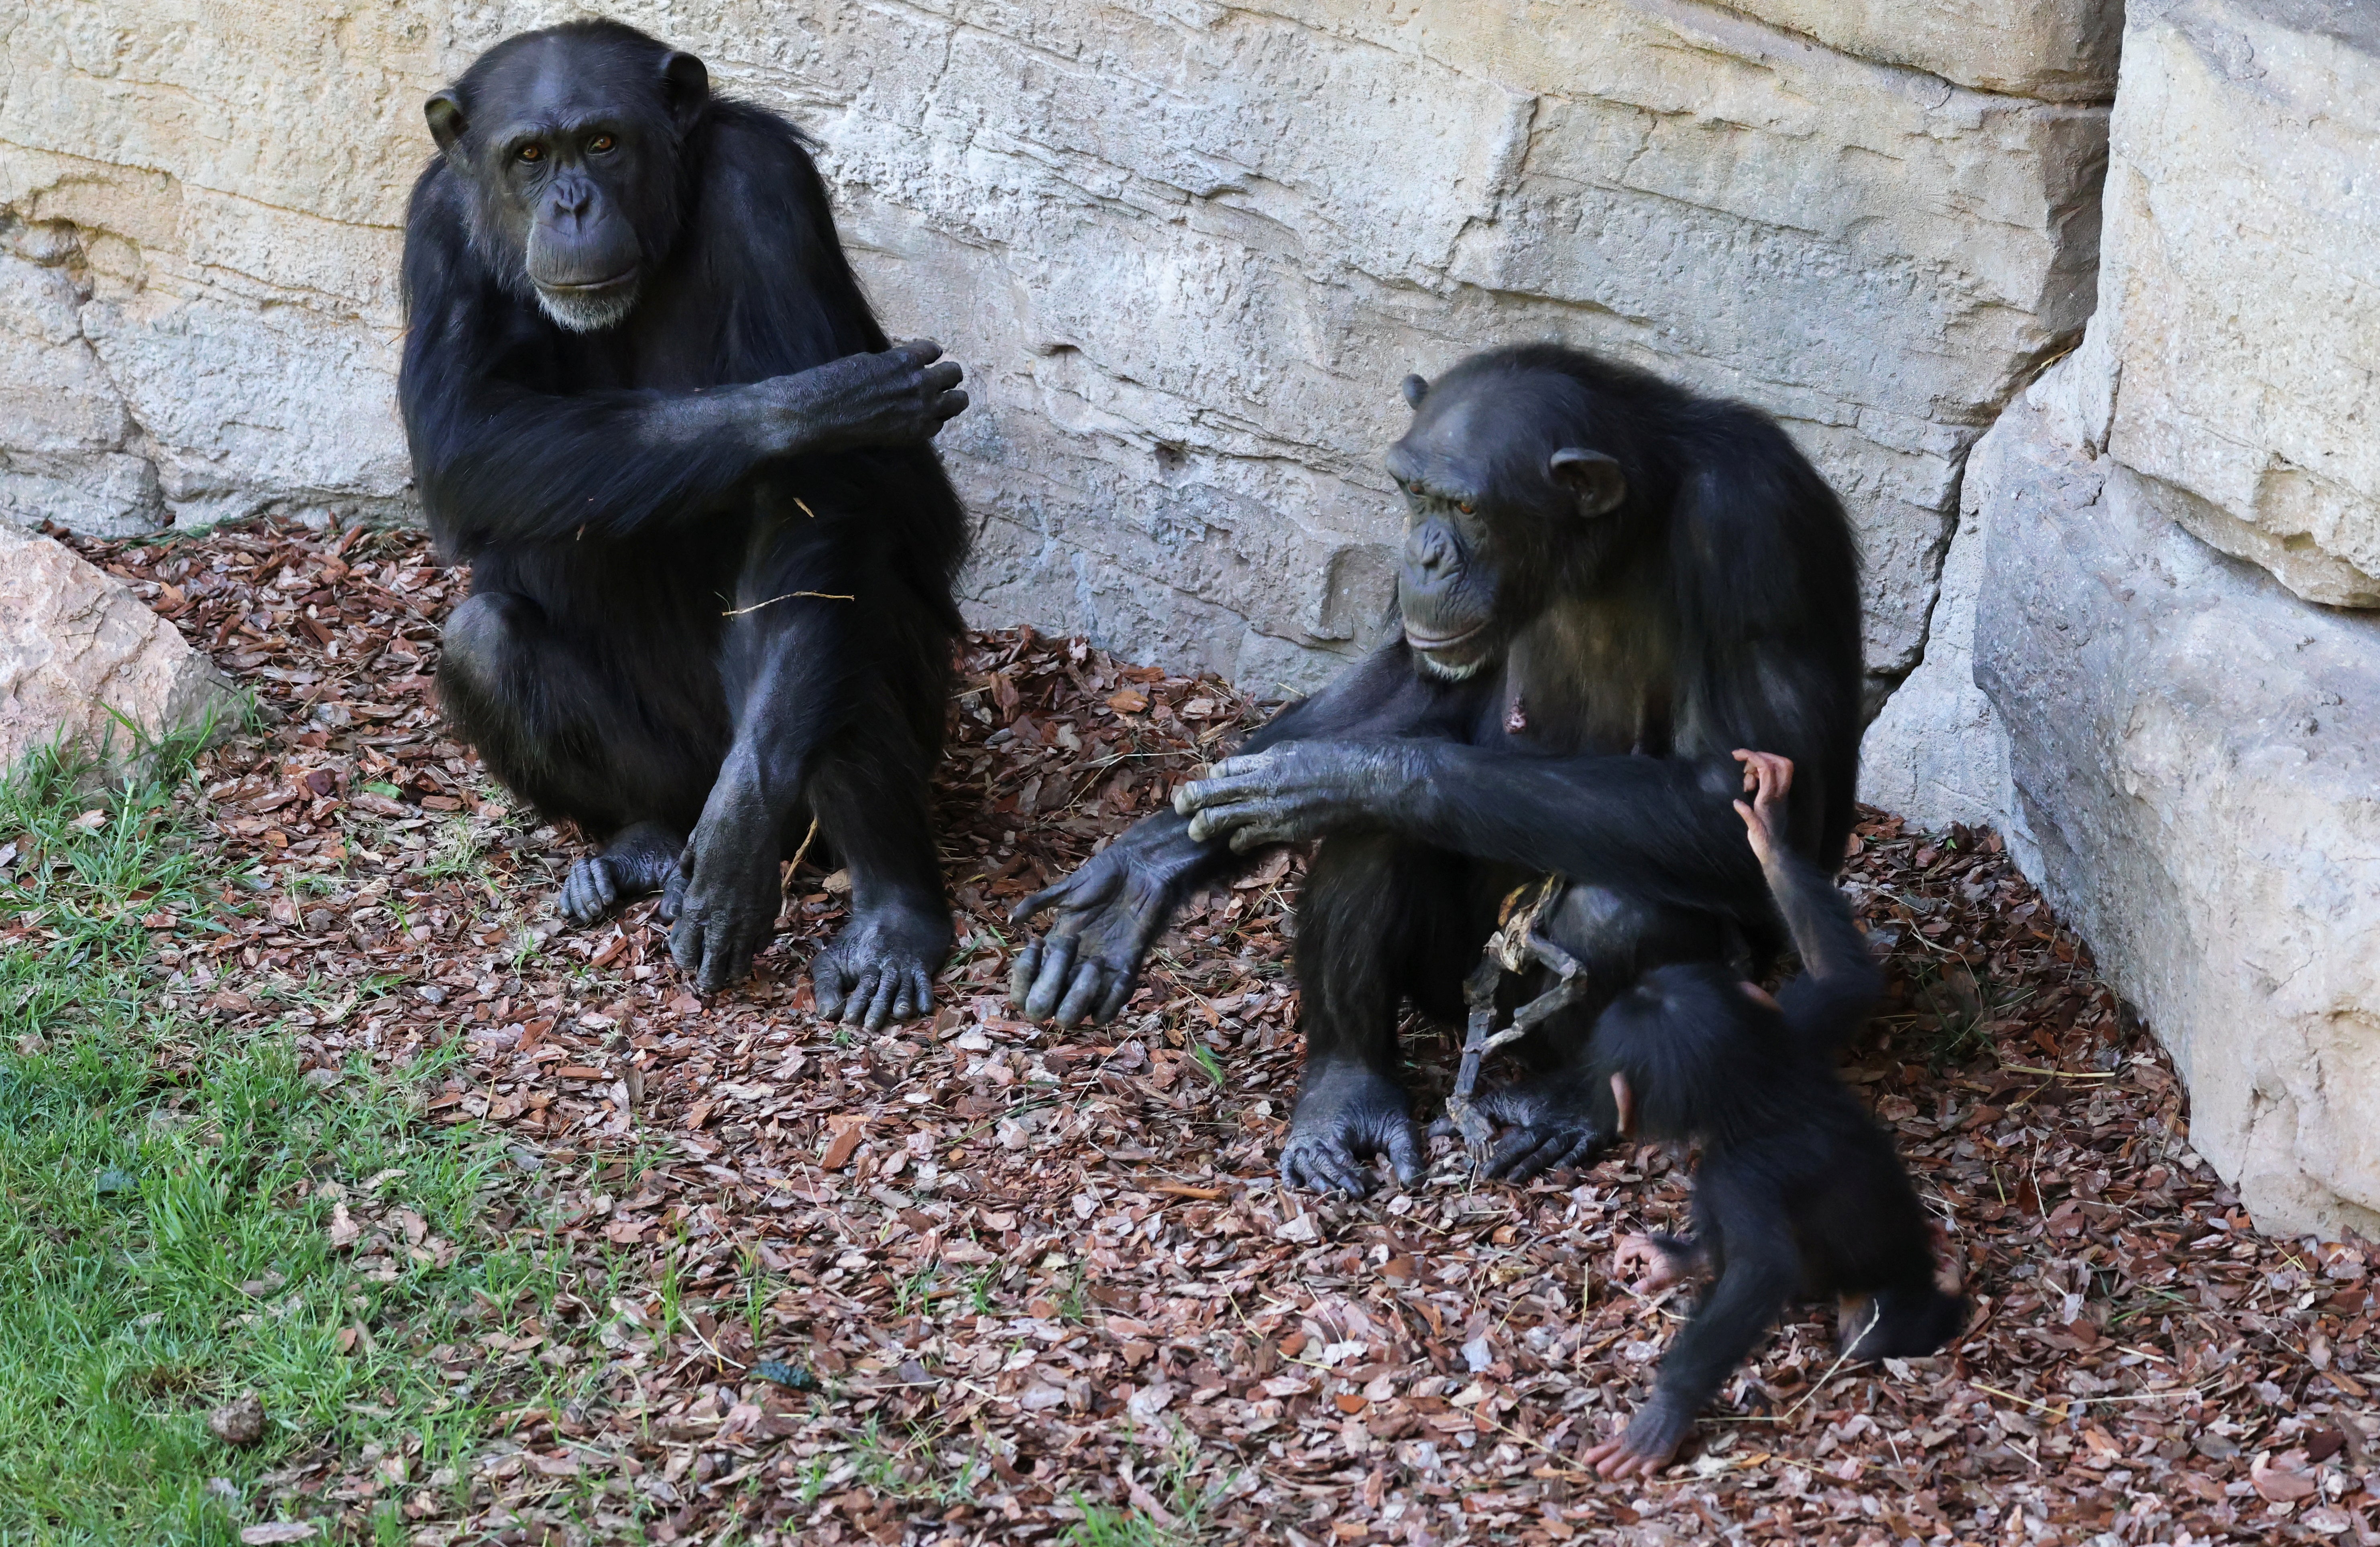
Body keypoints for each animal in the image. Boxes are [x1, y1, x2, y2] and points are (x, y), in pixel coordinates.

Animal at [404, 21, 971, 1023]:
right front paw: (818, 405)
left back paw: (890, 919)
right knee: (483, 637)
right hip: (670, 769)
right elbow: (461, 430)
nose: (573, 205)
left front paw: (740, 834)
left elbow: (811, 512)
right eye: (528, 157)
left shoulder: (765, 187)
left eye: (602, 143)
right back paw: (637, 845)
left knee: (834, 617)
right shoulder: (436, 228)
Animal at [1004, 347, 1856, 1195]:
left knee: (1615, 910)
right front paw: (1146, 864)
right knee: (1371, 845)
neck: (1612, 536)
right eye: (1413, 492)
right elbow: (1412, 680)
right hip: (1449, 986)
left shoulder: (1756, 531)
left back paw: (1567, 1104)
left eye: (1468, 508)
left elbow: (1748, 801)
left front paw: (1341, 777)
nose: (1422, 554)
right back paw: (1345, 1094)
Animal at [1571, 752, 1961, 1476]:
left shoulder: (1738, 1176)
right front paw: (1768, 832)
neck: (1754, 1087)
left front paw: (1663, 1413)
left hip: (1879, 1295)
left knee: (1865, 1333)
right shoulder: (1795, 1027)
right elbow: (1843, 977)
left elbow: (1759, 1272)